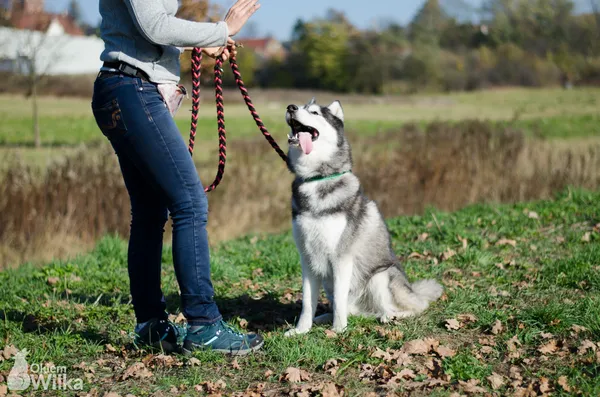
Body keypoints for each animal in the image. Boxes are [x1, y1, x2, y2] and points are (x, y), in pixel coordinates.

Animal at [284, 98, 442, 334]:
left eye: (314, 112)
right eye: (300, 107)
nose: (291, 107)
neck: (316, 178)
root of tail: (412, 289)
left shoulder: (341, 257)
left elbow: (340, 299)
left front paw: (339, 330)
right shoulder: (307, 258)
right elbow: (307, 302)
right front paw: (301, 330)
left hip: (380, 277)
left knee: (412, 307)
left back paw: (390, 316)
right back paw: (326, 317)